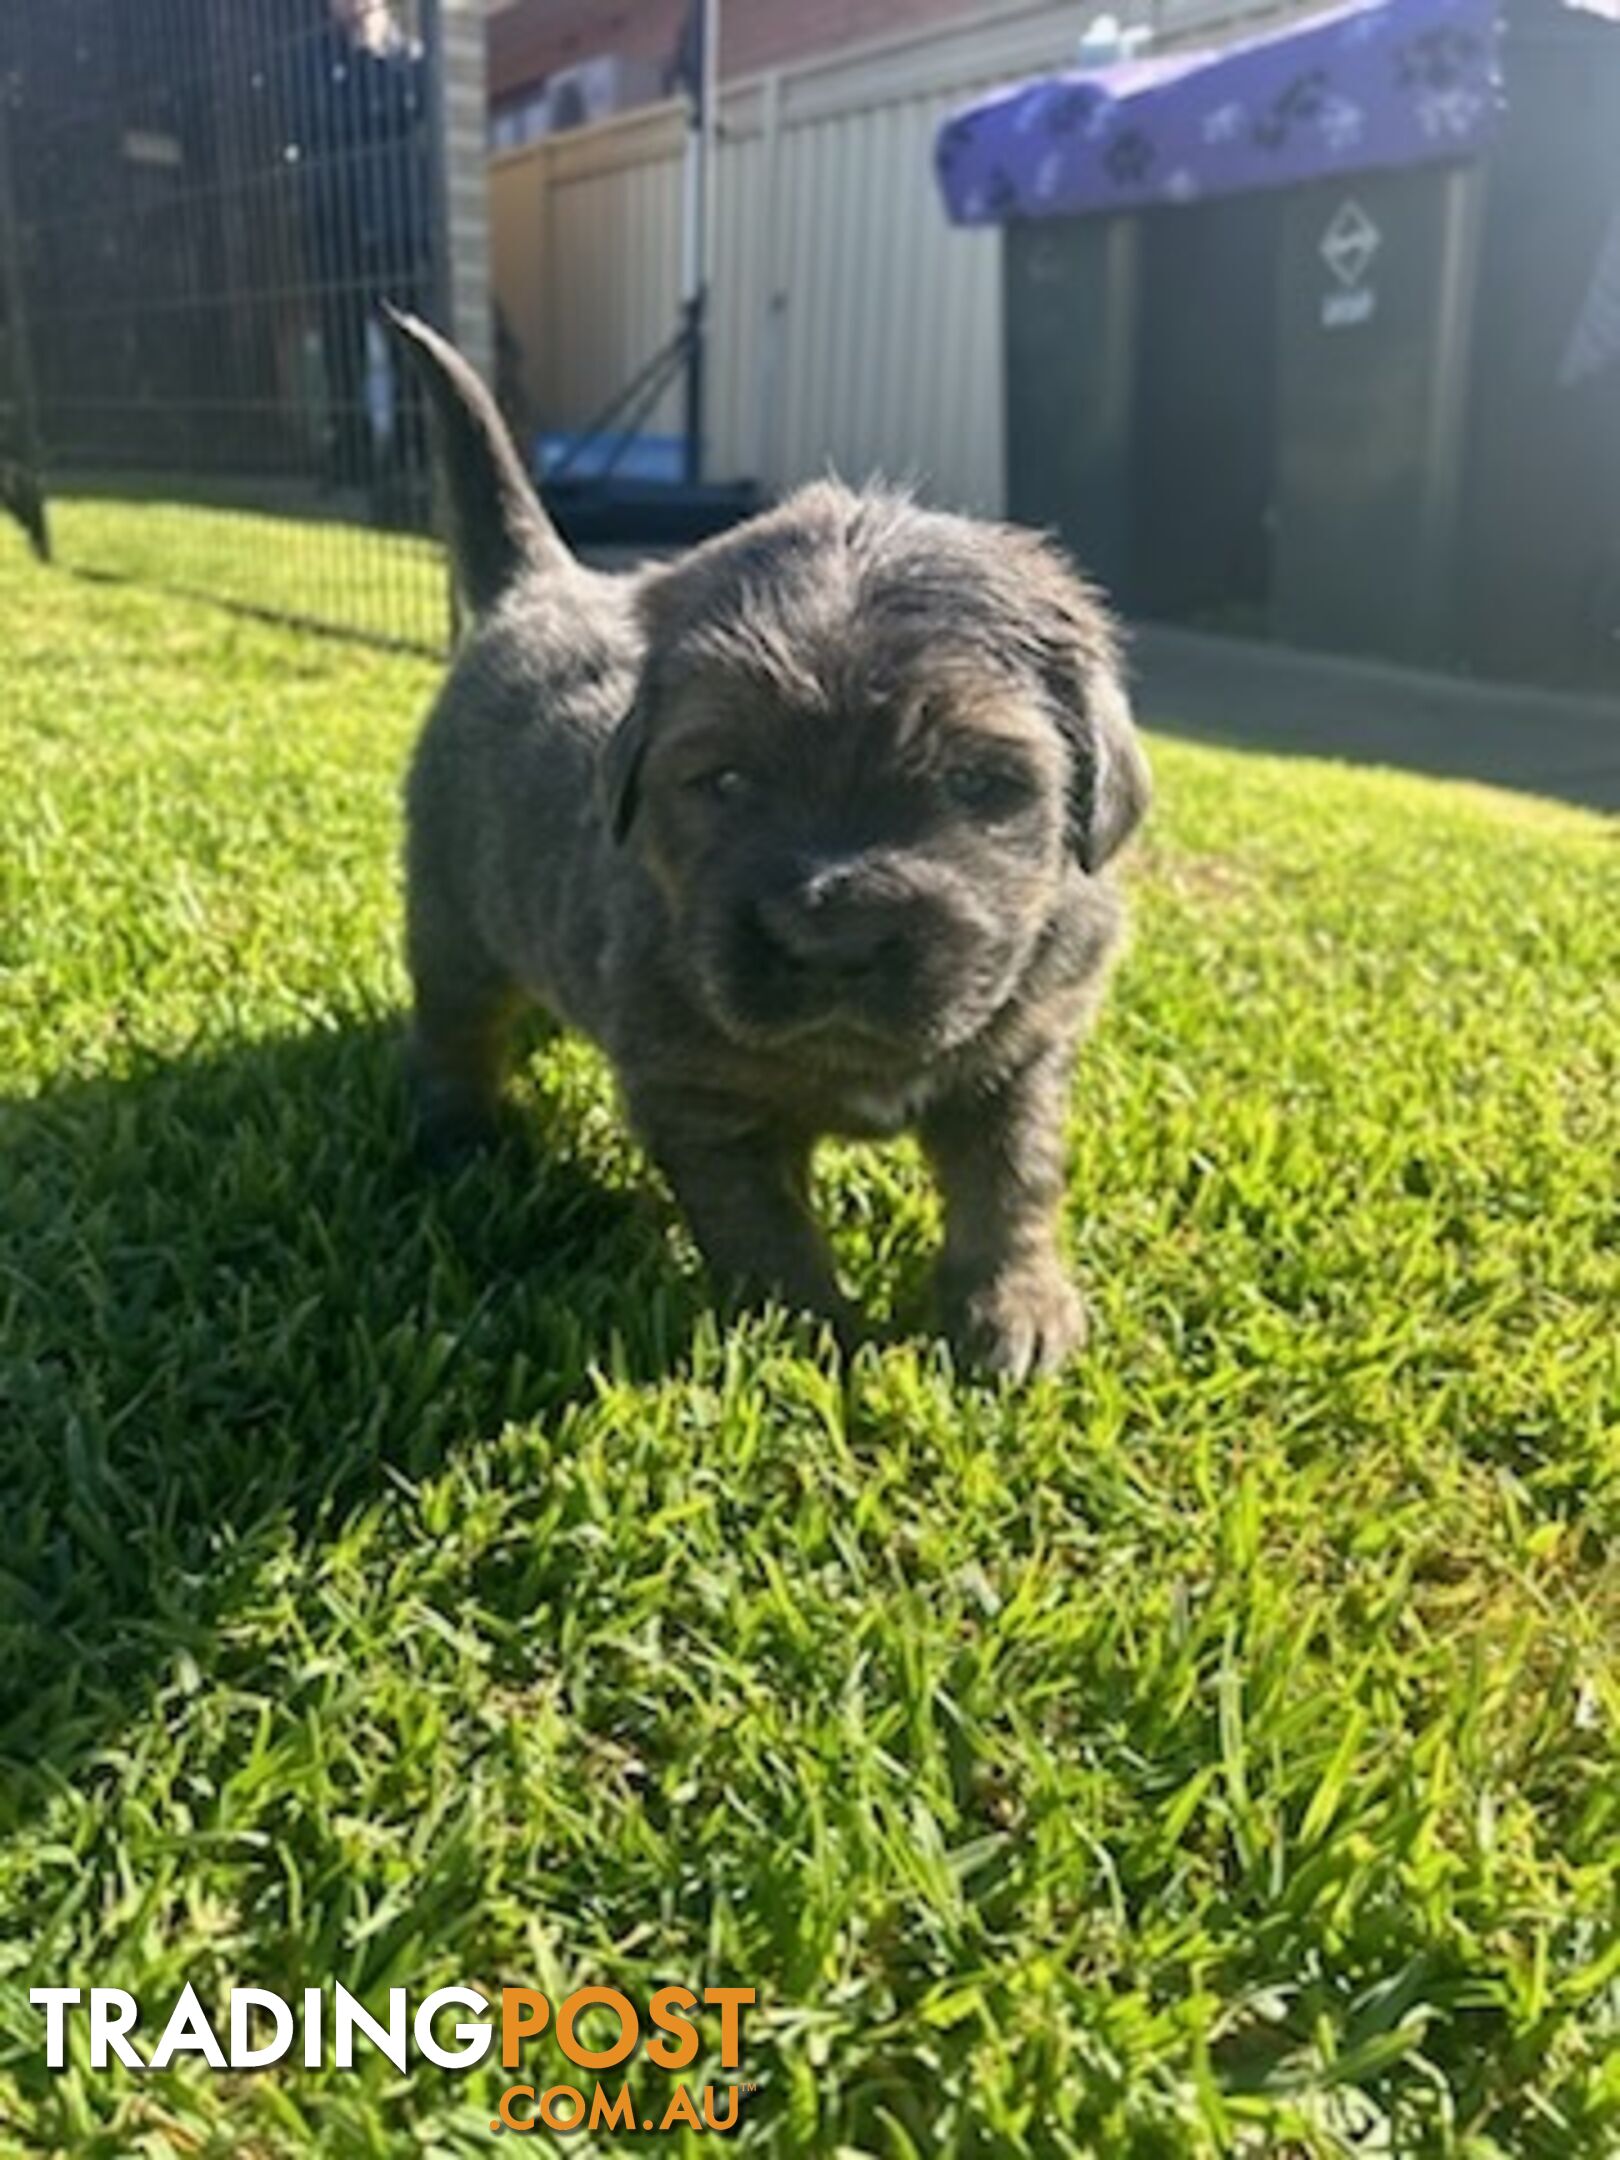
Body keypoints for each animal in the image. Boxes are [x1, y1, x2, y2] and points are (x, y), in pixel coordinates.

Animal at [390, 311, 1157, 1373]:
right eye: (726, 781)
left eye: (974, 781)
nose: (834, 937)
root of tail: (540, 586)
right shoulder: (708, 1104)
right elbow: (764, 1231)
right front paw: (810, 1338)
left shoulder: (1024, 1051)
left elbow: (1012, 1184)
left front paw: (1014, 1305)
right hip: (451, 917)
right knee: (455, 1028)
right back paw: (460, 1137)